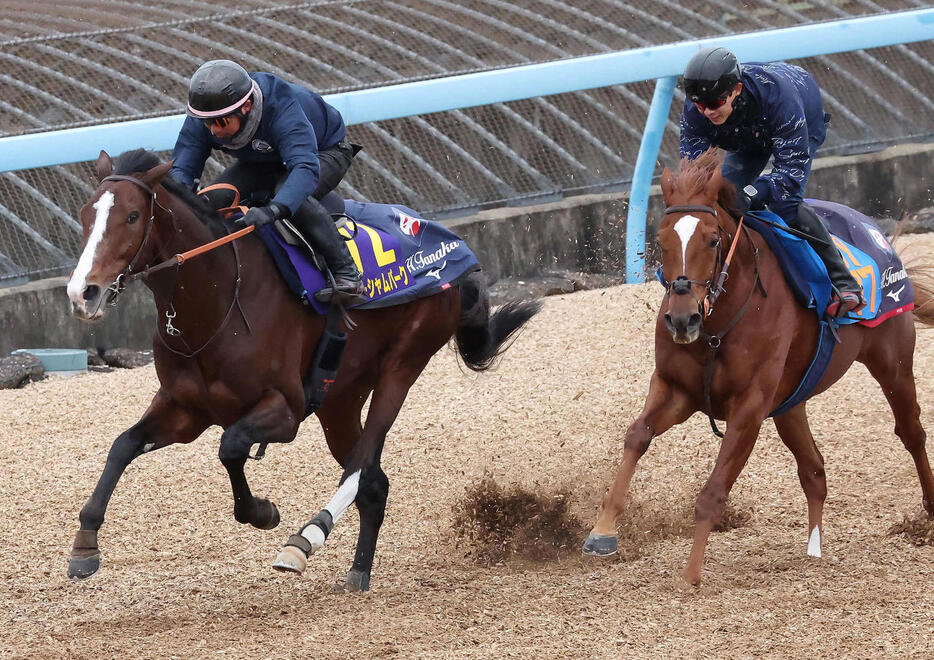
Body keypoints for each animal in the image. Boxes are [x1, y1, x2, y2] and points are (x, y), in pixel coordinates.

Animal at [66, 150, 540, 592]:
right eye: (86, 214)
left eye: (131, 216)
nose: (82, 293)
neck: (220, 296)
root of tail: (456, 249)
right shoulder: (185, 410)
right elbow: (123, 446)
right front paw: (85, 544)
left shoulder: (286, 409)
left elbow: (231, 446)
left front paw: (262, 512)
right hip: (340, 398)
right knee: (374, 482)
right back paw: (358, 571)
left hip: (404, 362)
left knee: (360, 464)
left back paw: (307, 537)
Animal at [584, 151, 934, 588]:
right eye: (660, 241)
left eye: (712, 239)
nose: (681, 320)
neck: (717, 325)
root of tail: (880, 237)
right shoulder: (676, 389)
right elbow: (637, 436)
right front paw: (602, 530)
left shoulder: (748, 408)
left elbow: (713, 490)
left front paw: (691, 573)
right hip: (791, 403)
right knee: (814, 470)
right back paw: (813, 551)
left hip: (893, 363)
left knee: (912, 433)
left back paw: (928, 516)